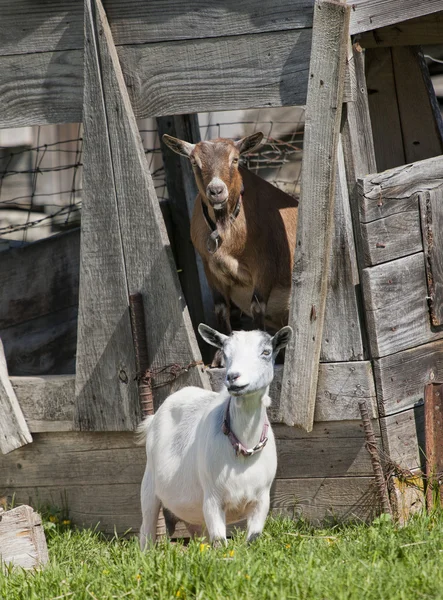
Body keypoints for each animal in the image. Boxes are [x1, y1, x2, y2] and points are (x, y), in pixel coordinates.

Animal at [138, 324, 292, 548]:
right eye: (225, 353)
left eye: (266, 352)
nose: (233, 377)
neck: (244, 447)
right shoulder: (212, 498)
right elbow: (220, 543)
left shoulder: (262, 499)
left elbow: (252, 540)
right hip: (149, 485)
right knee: (146, 531)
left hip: (192, 513)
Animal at [163, 134, 298, 342]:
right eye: (194, 161)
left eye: (235, 159)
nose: (216, 191)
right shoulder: (211, 270)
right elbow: (221, 310)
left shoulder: (265, 266)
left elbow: (257, 308)